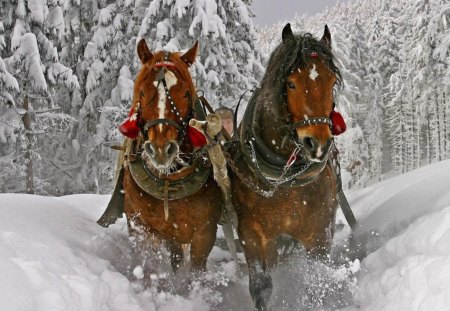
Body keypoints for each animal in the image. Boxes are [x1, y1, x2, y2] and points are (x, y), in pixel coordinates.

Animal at [98, 39, 232, 286]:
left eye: (187, 94)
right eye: (142, 91)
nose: (161, 149)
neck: (169, 179)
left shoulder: (205, 232)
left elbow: (195, 271)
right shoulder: (141, 226)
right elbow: (148, 265)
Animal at [229, 23, 344, 310]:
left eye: (331, 82)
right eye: (291, 83)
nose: (318, 144)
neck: (285, 180)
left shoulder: (319, 235)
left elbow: (317, 282)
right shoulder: (252, 234)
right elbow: (261, 287)